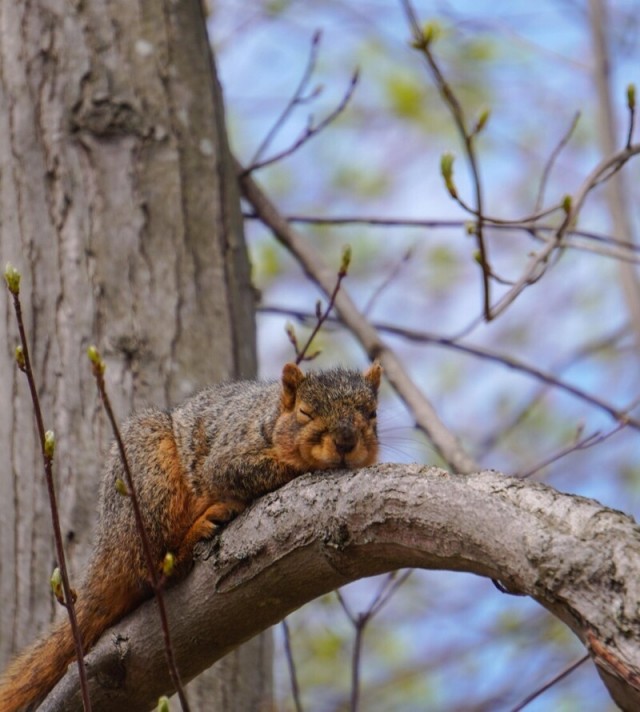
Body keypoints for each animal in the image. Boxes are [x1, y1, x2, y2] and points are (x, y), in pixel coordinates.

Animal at [0, 364, 380, 708]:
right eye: (305, 412)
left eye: (372, 413)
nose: (346, 442)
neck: (269, 420)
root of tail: (106, 546)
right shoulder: (226, 459)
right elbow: (242, 470)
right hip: (150, 479)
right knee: (148, 569)